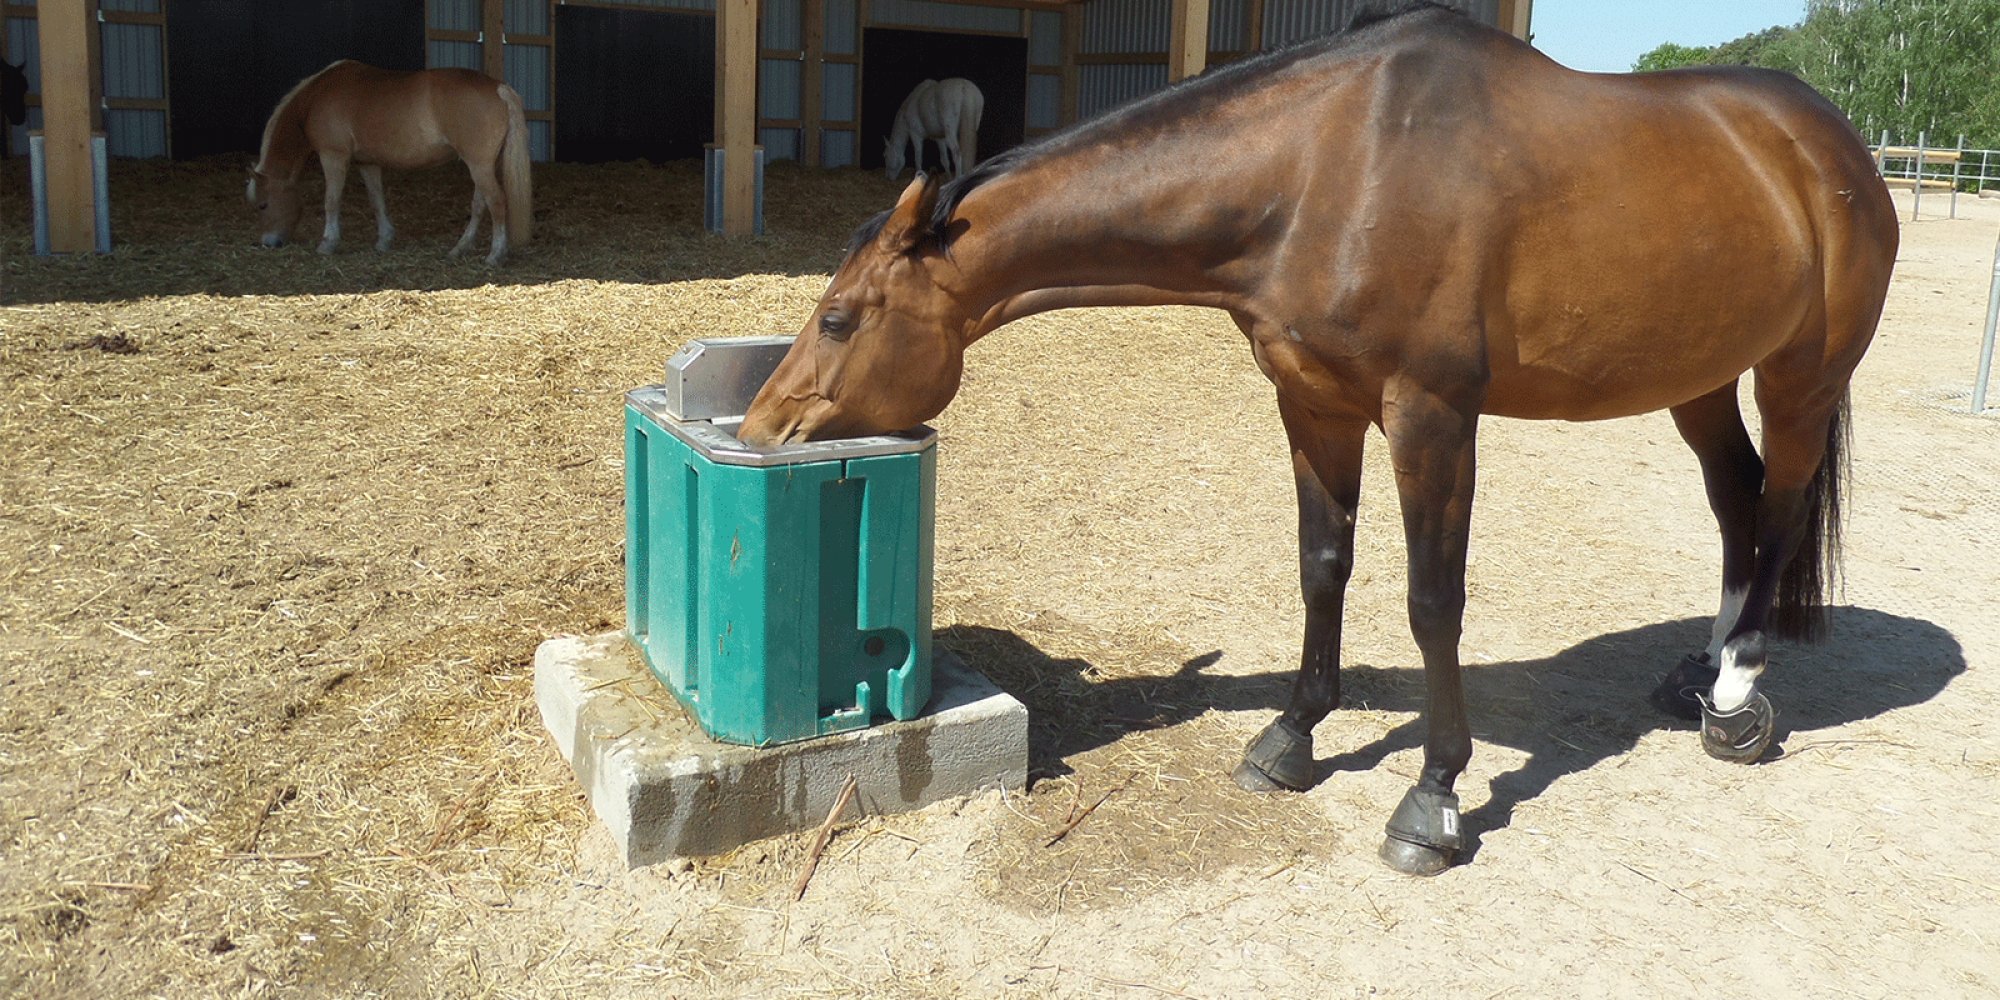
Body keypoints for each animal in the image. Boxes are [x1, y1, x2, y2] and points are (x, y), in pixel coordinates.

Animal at [247, 60, 532, 265]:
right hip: (482, 166)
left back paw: (495, 255)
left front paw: (327, 243)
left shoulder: (333, 156)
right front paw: (383, 241)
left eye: (263, 205)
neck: (317, 96)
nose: (268, 243)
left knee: (496, 202)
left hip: (479, 166)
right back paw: (460, 248)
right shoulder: (367, 163)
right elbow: (376, 200)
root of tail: (498, 88)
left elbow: (331, 201)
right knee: (480, 205)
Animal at [739, 2, 1899, 875]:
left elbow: (1432, 603)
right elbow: (1321, 567)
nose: (762, 424)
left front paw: (1432, 800)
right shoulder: (1312, 405)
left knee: (1778, 512)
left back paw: (1736, 698)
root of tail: (1829, 143)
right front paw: (1291, 739)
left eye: (837, 318)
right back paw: (1699, 670)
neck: (1324, 170)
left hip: (1800, 377)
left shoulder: (1431, 418)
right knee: (1735, 503)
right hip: (1697, 379)